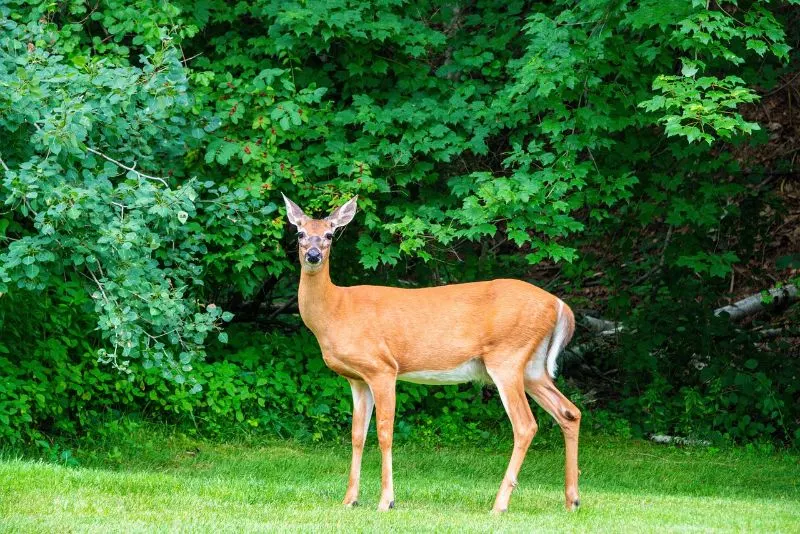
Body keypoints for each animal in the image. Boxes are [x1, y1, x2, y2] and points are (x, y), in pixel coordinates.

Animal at [282, 194, 580, 516]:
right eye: (300, 233)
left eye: (329, 234)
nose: (313, 255)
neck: (335, 310)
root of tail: (560, 305)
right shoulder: (357, 379)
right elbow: (356, 435)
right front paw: (350, 499)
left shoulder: (382, 367)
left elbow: (384, 432)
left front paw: (387, 500)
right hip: (533, 368)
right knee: (569, 412)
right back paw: (572, 500)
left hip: (507, 357)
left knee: (525, 425)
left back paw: (499, 505)